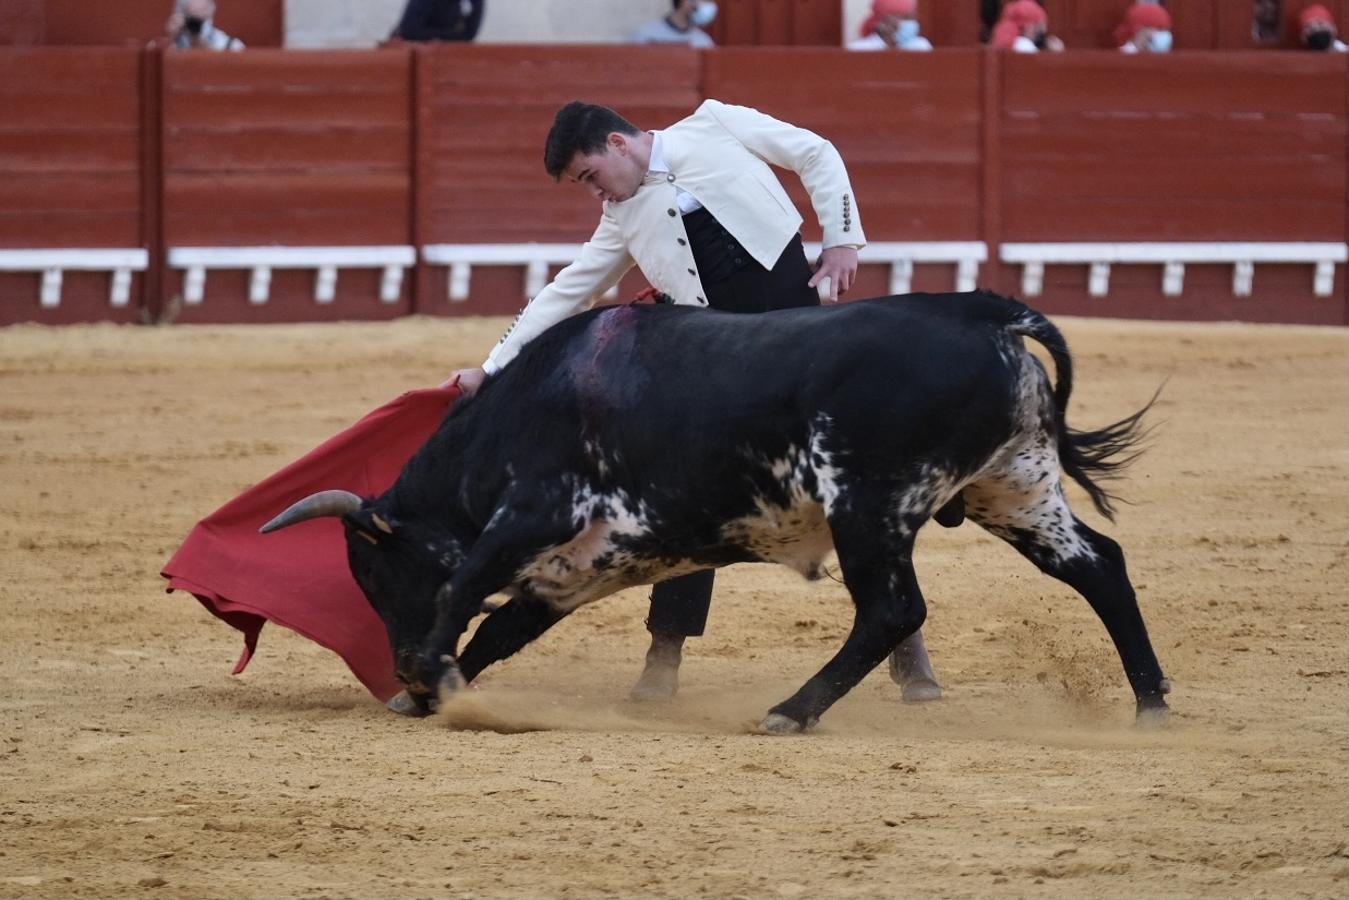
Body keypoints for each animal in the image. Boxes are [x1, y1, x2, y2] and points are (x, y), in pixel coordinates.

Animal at [263, 295, 1170, 734]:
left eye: (375, 571)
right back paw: (1150, 704)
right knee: (1099, 566)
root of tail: (984, 316)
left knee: (891, 609)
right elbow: (496, 627)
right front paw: (436, 690)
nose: (394, 664)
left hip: (868, 504)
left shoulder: (531, 516)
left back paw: (788, 713)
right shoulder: (572, 570)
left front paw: (431, 681)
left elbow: (460, 598)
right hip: (1011, 488)